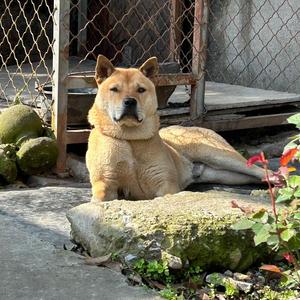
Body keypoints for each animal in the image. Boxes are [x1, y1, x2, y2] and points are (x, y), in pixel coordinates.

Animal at [86, 55, 264, 202]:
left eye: (141, 89)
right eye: (114, 89)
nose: (130, 101)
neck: (130, 137)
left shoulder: (166, 184)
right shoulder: (106, 182)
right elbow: (101, 196)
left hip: (218, 155)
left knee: (258, 169)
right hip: (226, 174)